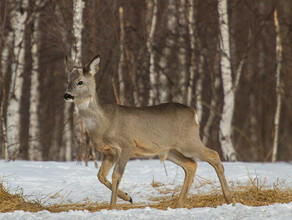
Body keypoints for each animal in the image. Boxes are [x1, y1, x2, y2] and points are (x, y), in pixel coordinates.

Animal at [64, 55, 235, 210]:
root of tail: (193, 112)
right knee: (191, 164)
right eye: (68, 81)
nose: (67, 95)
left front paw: (113, 207)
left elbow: (116, 175)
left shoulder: (127, 145)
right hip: (170, 150)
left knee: (213, 155)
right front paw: (127, 197)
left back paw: (229, 199)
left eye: (80, 82)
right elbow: (101, 175)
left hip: (189, 141)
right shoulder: (109, 152)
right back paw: (179, 204)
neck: (103, 123)